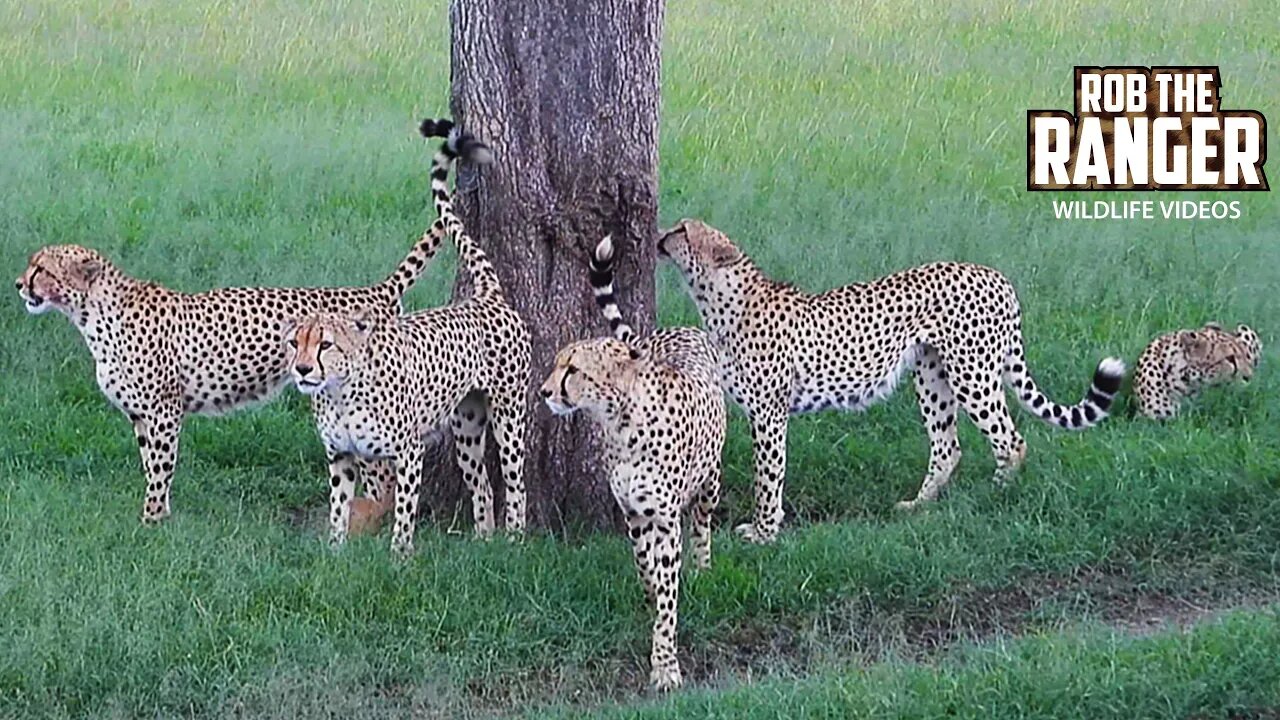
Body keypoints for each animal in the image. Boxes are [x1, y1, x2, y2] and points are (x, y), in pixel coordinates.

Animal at [15, 117, 483, 520]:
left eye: (42, 269)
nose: (19, 284)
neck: (91, 315)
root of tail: (373, 291)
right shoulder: (140, 416)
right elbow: (151, 466)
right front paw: (159, 515)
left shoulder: (164, 410)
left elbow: (160, 469)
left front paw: (151, 521)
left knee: (383, 475)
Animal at [537, 235, 727, 691]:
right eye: (556, 363)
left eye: (573, 369)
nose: (544, 391)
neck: (622, 424)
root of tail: (681, 330)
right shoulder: (634, 512)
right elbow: (645, 564)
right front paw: (649, 594)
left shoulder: (664, 518)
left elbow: (668, 595)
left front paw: (666, 665)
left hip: (711, 479)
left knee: (703, 521)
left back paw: (703, 566)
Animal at [655, 219, 1126, 538]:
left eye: (682, 229)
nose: (659, 233)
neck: (719, 299)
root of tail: (996, 276)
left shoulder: (769, 414)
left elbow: (768, 475)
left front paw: (764, 532)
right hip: (931, 375)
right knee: (948, 446)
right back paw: (918, 505)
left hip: (972, 373)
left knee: (1010, 440)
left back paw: (997, 494)